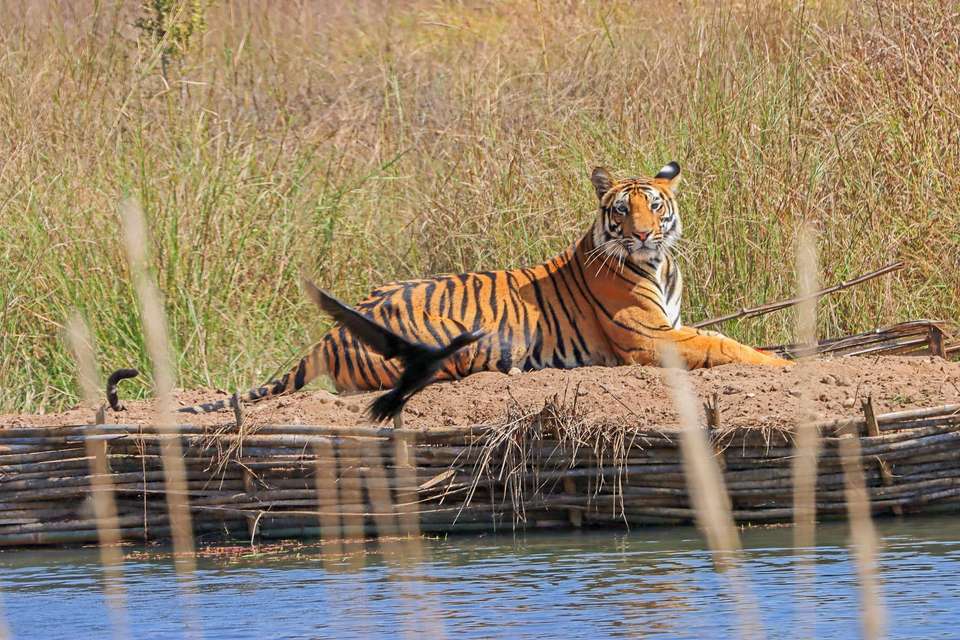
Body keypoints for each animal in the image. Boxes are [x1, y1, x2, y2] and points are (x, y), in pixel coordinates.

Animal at [181, 161, 790, 414]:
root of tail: (327, 337)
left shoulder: (671, 325)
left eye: (655, 206)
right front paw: (779, 363)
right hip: (456, 338)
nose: (641, 233)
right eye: (622, 209)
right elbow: (723, 345)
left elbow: (720, 340)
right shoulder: (651, 338)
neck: (658, 263)